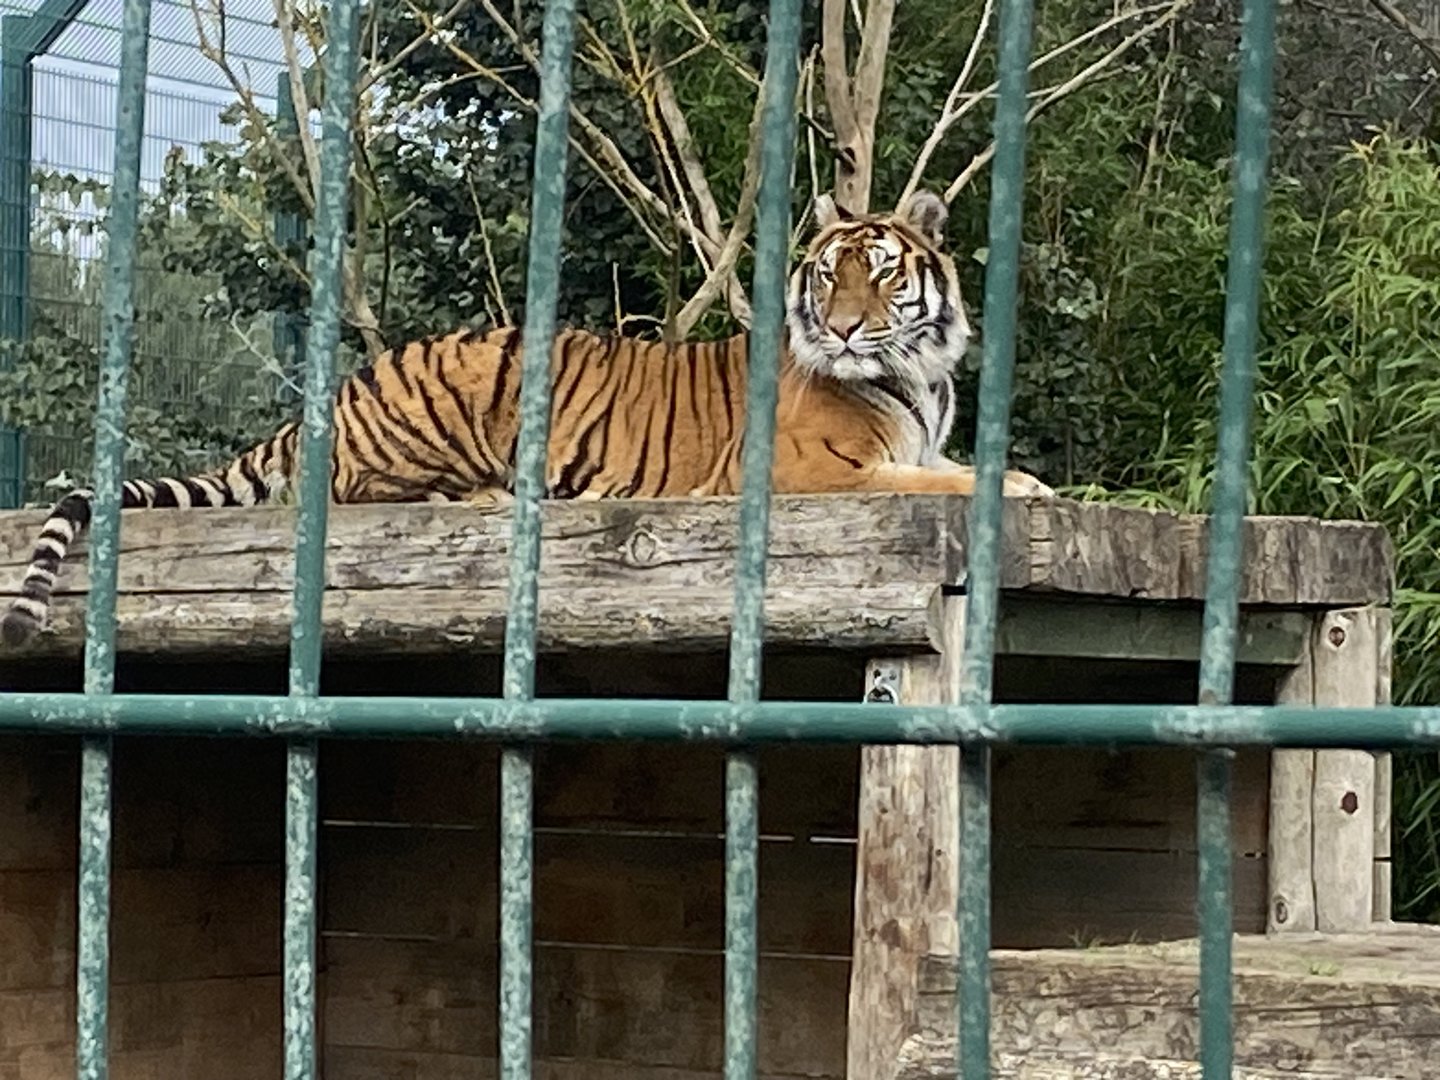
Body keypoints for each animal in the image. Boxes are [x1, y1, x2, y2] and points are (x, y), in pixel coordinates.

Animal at [1, 188, 1053, 646]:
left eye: (879, 275)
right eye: (827, 274)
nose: (838, 326)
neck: (919, 374)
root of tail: (330, 398)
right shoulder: (813, 471)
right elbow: (942, 478)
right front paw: (1031, 485)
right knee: (359, 494)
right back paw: (477, 499)